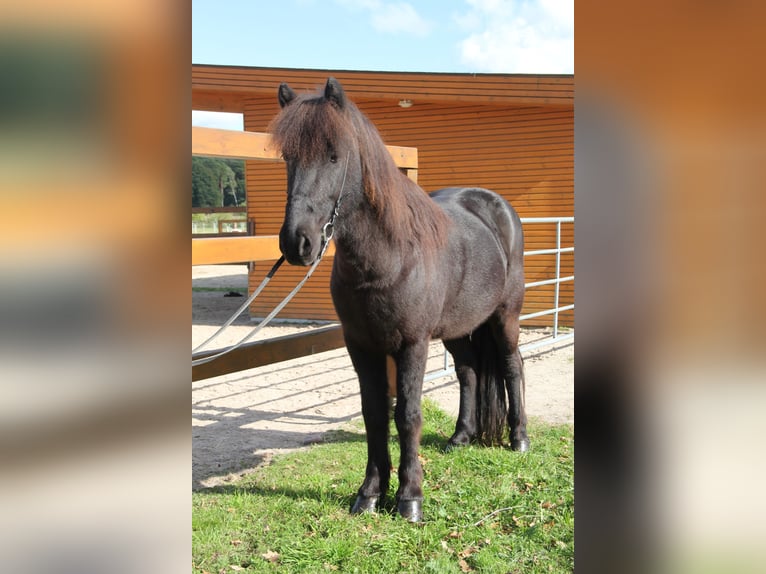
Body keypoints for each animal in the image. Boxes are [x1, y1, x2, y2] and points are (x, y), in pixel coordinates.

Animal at [270, 79, 528, 524]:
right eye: (288, 157)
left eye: (334, 154)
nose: (296, 242)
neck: (388, 258)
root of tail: (498, 208)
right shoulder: (361, 345)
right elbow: (374, 413)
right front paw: (371, 494)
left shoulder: (412, 344)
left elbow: (407, 415)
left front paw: (409, 498)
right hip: (457, 327)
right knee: (469, 372)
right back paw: (461, 436)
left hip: (504, 317)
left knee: (512, 366)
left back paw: (519, 438)